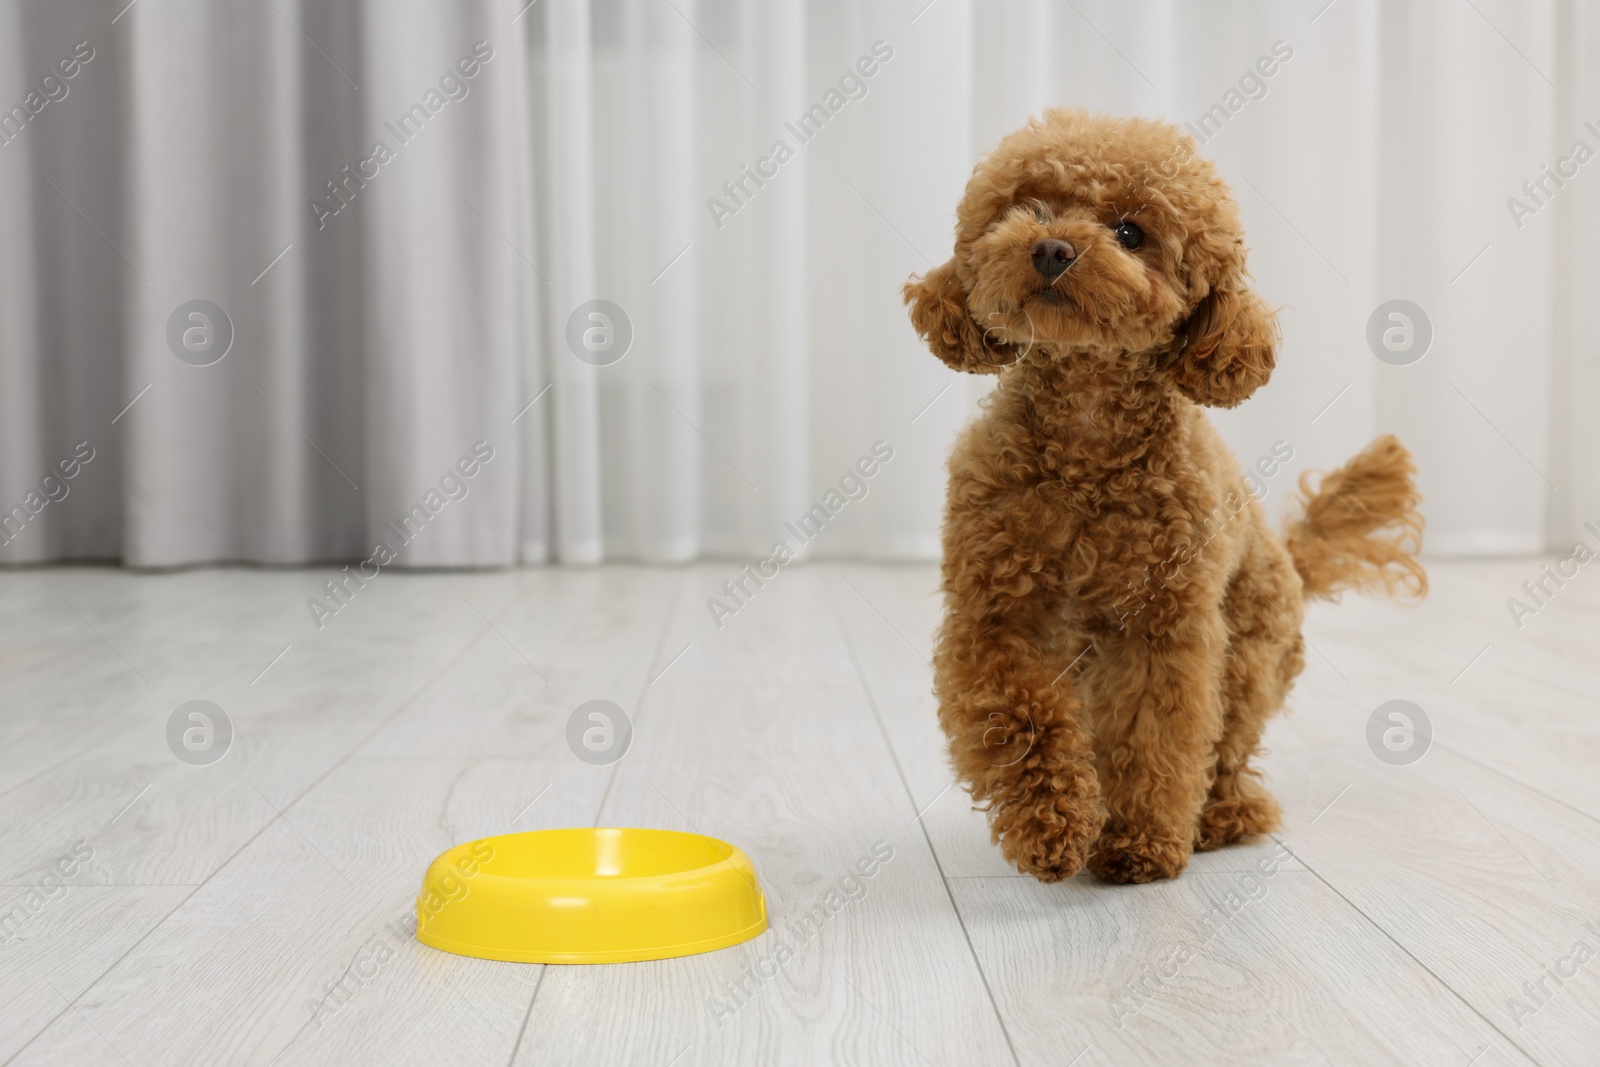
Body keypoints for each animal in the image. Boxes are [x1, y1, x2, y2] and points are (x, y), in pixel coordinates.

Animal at [902, 112, 1427, 889]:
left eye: (1130, 233)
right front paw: (1052, 828)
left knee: (1227, 749)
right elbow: (1021, 716)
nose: (1051, 248)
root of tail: (1291, 561)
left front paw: (1138, 842)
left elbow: (1157, 734)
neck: (1087, 433)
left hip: (1248, 659)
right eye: (1027, 207)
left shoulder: (1163, 627)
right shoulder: (995, 613)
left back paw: (1222, 817)